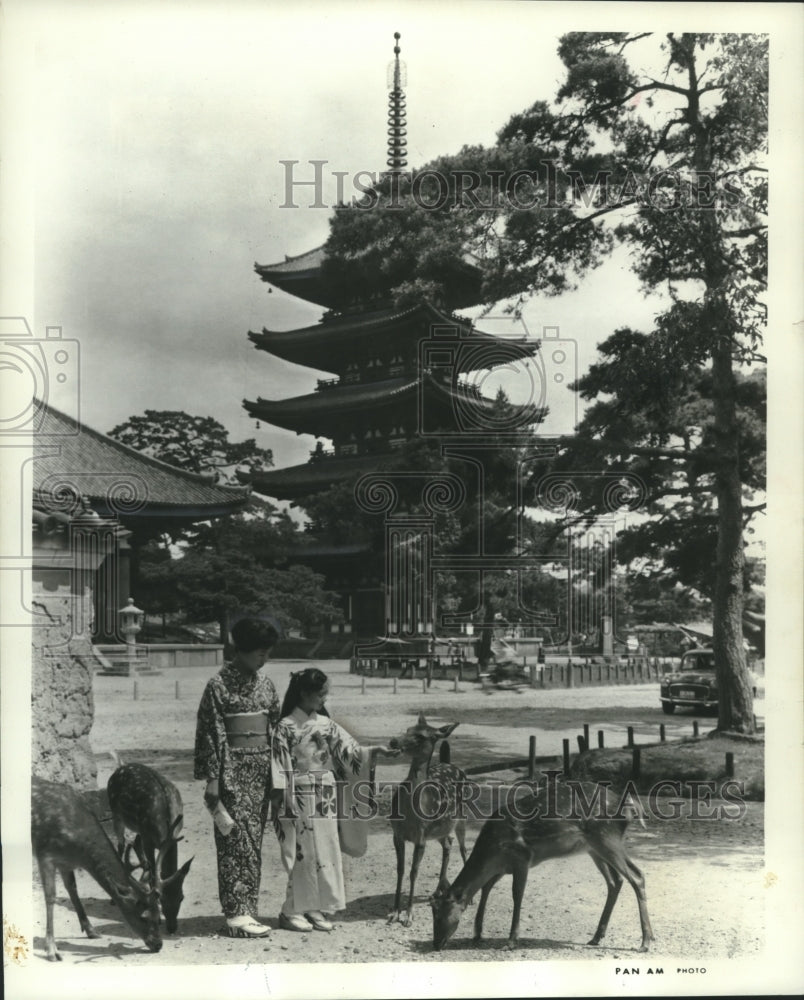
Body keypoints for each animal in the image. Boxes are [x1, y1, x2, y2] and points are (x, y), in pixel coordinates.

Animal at [31, 772, 165, 960]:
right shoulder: (45, 854)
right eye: (143, 917)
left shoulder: (66, 862)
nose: (159, 944)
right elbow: (50, 897)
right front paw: (51, 949)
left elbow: (72, 888)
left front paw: (91, 930)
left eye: (159, 916)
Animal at [106, 760, 192, 932]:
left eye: (181, 897)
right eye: (161, 898)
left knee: (134, 842)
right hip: (116, 813)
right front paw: (156, 917)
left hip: (137, 826)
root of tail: (120, 767)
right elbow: (153, 874)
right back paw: (117, 894)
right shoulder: (148, 839)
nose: (172, 928)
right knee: (121, 844)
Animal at [388, 716, 472, 924]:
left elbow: (413, 872)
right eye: (408, 729)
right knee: (448, 843)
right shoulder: (397, 834)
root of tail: (449, 763)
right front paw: (395, 912)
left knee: (463, 847)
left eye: (421, 736)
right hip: (439, 830)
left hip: (462, 815)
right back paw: (440, 889)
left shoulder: (420, 837)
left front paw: (409, 915)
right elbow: (400, 870)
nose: (394, 741)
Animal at [430, 772, 652, 952]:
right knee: (615, 881)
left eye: (440, 915)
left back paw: (645, 941)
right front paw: (477, 933)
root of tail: (629, 806)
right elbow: (485, 888)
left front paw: (511, 941)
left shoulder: (522, 858)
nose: (436, 944)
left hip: (607, 838)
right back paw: (596, 937)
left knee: (637, 876)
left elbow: (517, 895)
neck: (492, 849)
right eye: (432, 912)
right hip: (594, 848)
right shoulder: (502, 867)